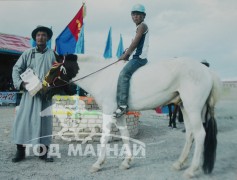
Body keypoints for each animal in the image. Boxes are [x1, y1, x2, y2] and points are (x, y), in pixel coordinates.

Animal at [43, 54, 221, 178]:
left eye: (52, 69)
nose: (43, 89)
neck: (101, 76)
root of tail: (206, 70)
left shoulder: (108, 111)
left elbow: (104, 137)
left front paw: (98, 164)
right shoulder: (119, 113)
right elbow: (125, 135)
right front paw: (127, 161)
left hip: (193, 108)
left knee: (200, 134)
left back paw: (191, 170)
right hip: (184, 107)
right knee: (190, 134)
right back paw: (179, 163)